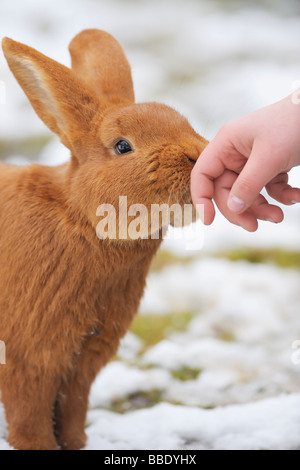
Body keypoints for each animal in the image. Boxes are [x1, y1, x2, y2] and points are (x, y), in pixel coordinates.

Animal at [0, 30, 209, 452]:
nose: (197, 156)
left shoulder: (84, 360)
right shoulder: (27, 357)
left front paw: (77, 443)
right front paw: (39, 447)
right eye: (122, 146)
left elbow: (73, 406)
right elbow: (29, 416)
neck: (80, 218)